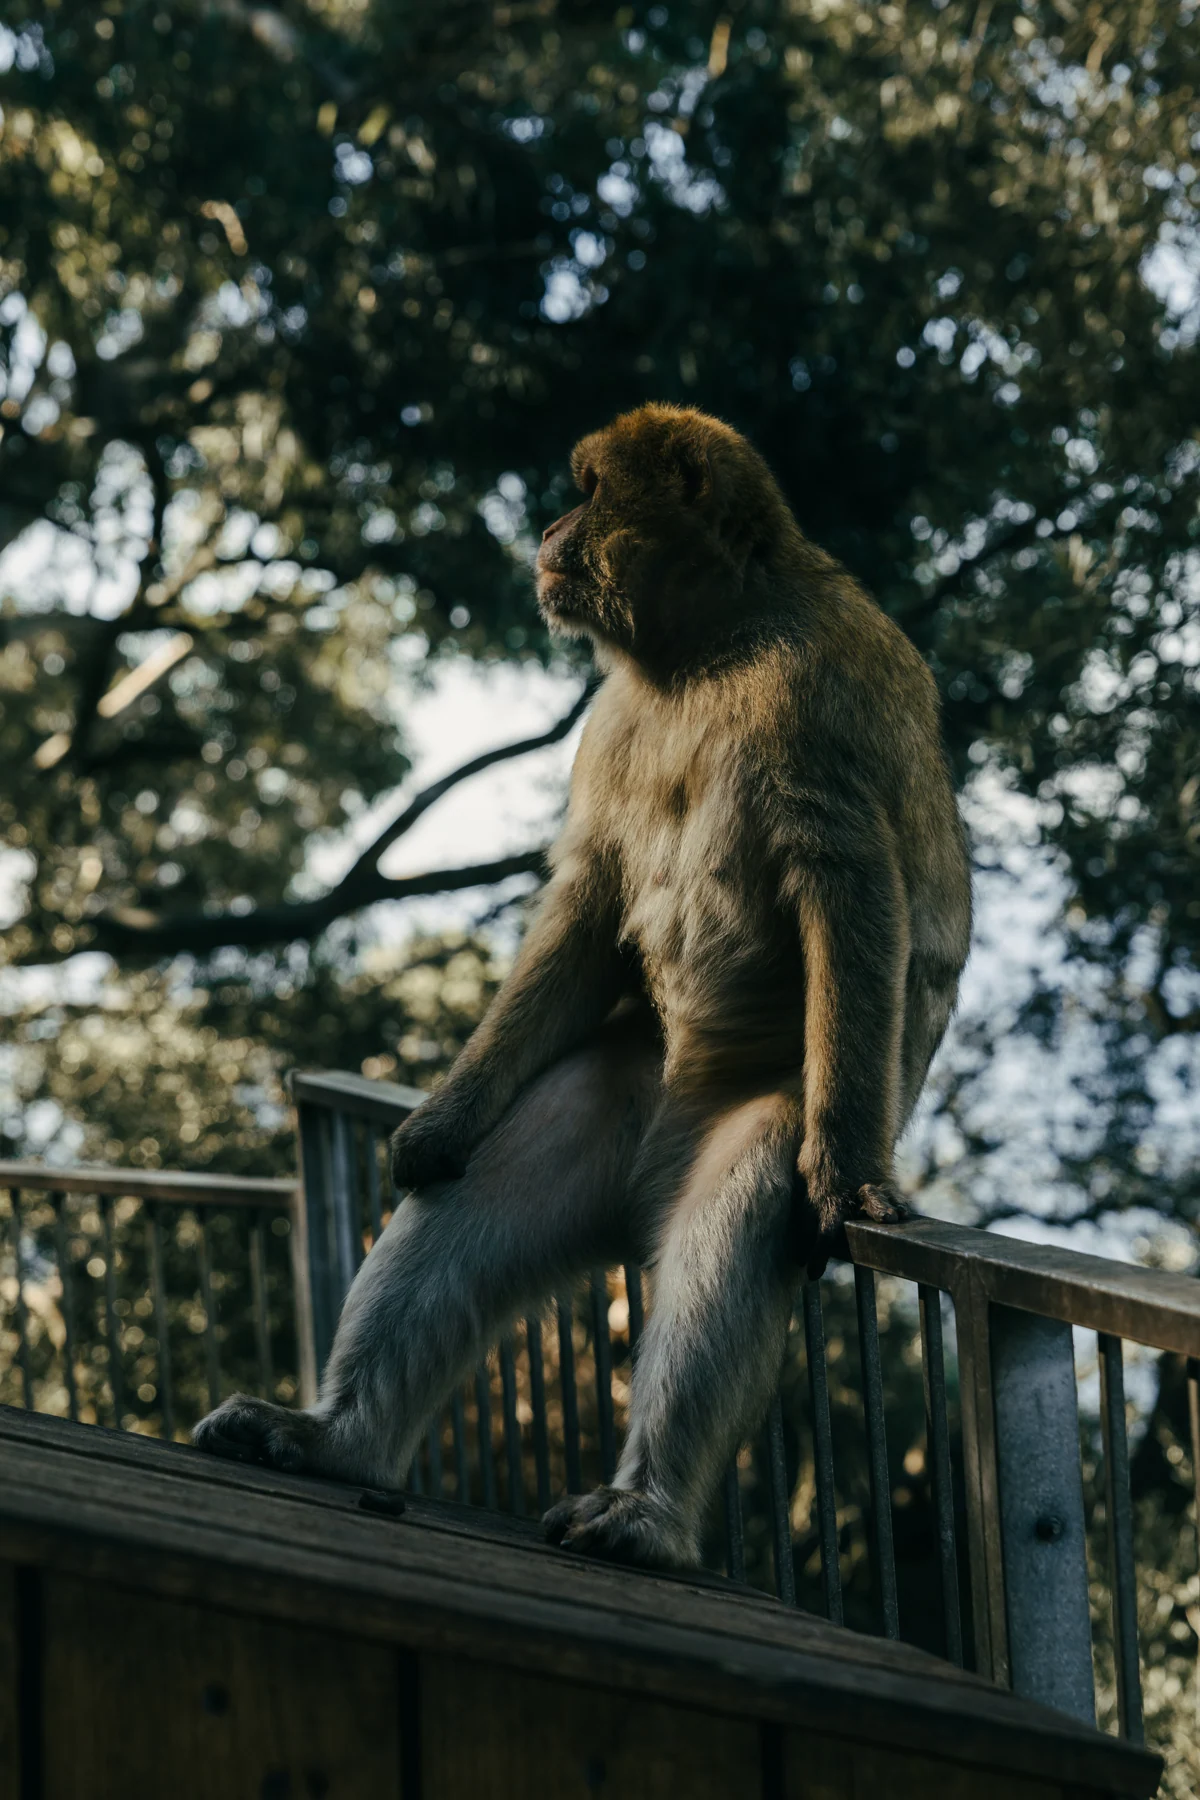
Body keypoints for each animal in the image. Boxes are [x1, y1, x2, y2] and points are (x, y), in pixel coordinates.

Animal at [194, 404, 972, 1571]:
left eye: (592, 490)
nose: (552, 526)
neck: (702, 651)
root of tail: (646, 1175)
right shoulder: (613, 720)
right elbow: (590, 904)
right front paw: (434, 1124)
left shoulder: (819, 692)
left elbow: (852, 895)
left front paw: (848, 1177)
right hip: (617, 1090)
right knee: (473, 1194)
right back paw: (338, 1437)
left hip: (753, 1103)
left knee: (725, 1232)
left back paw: (644, 1513)